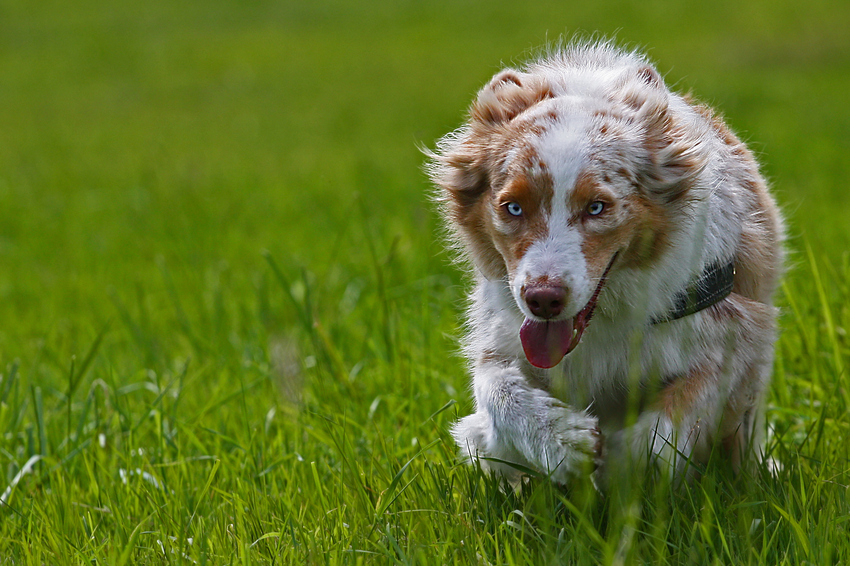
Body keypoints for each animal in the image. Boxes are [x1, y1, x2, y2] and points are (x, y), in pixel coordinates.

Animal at [424, 40, 780, 486]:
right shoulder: (500, 335)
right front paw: (563, 443)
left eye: (597, 207)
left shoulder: (734, 336)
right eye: (513, 207)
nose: (543, 299)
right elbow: (497, 392)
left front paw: (619, 465)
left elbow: (669, 425)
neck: (602, 323)